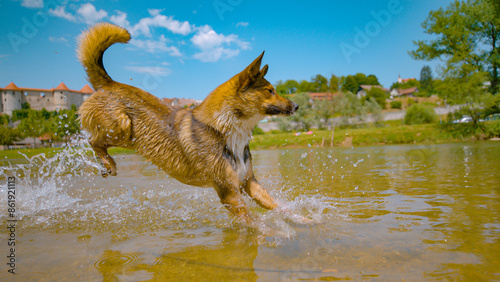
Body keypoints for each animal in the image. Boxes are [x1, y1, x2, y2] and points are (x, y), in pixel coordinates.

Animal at [77, 23, 296, 223]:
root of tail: (108, 83)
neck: (226, 128)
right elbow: (253, 223)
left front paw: (302, 220)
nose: (296, 105)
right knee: (93, 141)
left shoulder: (249, 182)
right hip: (121, 128)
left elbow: (278, 206)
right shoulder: (229, 192)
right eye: (270, 91)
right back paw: (108, 162)